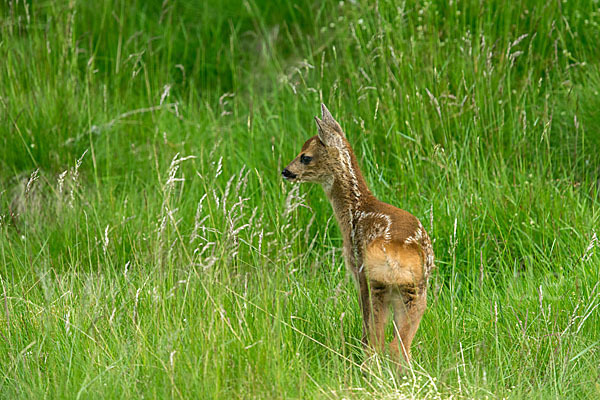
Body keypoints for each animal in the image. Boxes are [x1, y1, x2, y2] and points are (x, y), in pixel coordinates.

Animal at [284, 104, 434, 366]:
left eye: (305, 156)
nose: (286, 171)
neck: (357, 209)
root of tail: (399, 255)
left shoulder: (357, 270)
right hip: (417, 290)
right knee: (401, 346)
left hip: (376, 283)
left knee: (378, 342)